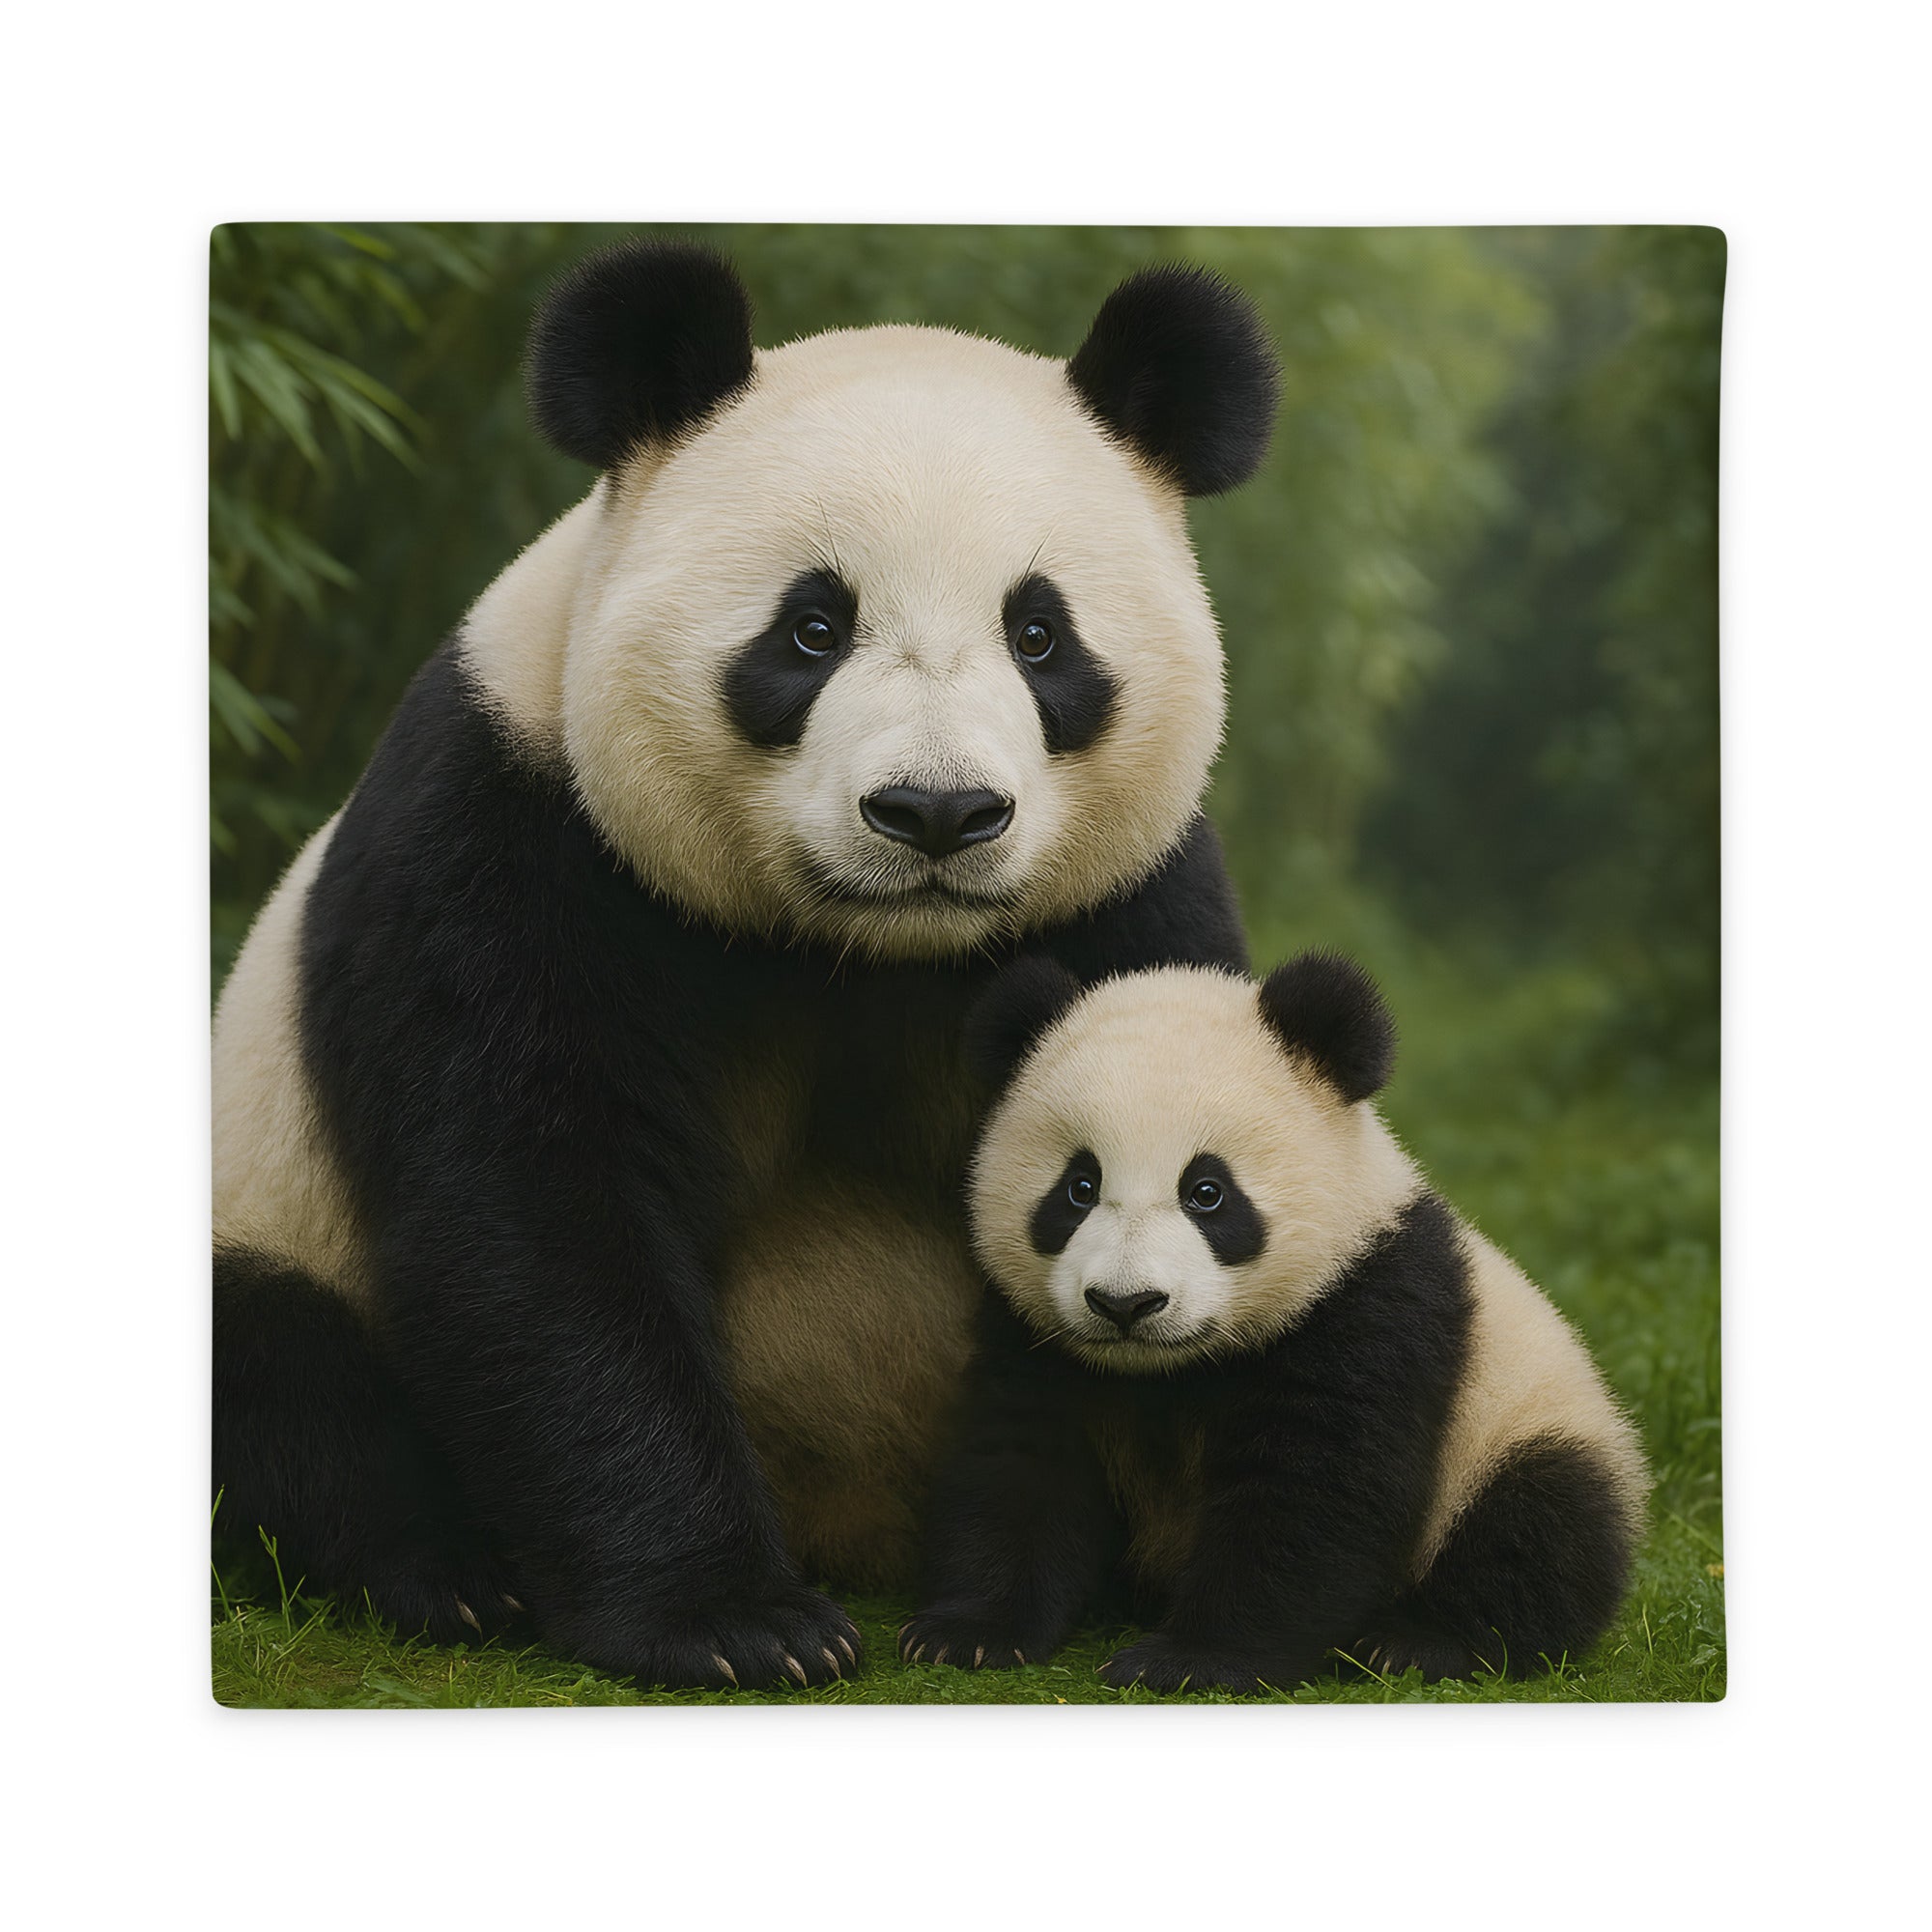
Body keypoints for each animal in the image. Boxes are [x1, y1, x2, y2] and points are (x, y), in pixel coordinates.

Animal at [211, 239, 1279, 1689]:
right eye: (812, 628)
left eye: (1040, 636)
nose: (935, 813)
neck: (861, 946)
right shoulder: (511, 839)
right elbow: (534, 1218)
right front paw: (737, 1624)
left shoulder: (1131, 899)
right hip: (270, 1212)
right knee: (286, 1381)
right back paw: (446, 1579)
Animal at [901, 953, 1647, 1691]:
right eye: (1078, 1188)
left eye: (1207, 1193)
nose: (1125, 1304)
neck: (1166, 1370)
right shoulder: (1034, 1332)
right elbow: (1020, 1461)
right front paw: (970, 1632)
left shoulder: (1369, 1306)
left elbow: (1312, 1491)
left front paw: (1192, 1659)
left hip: (1520, 1425)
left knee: (1539, 1525)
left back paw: (1419, 1643)